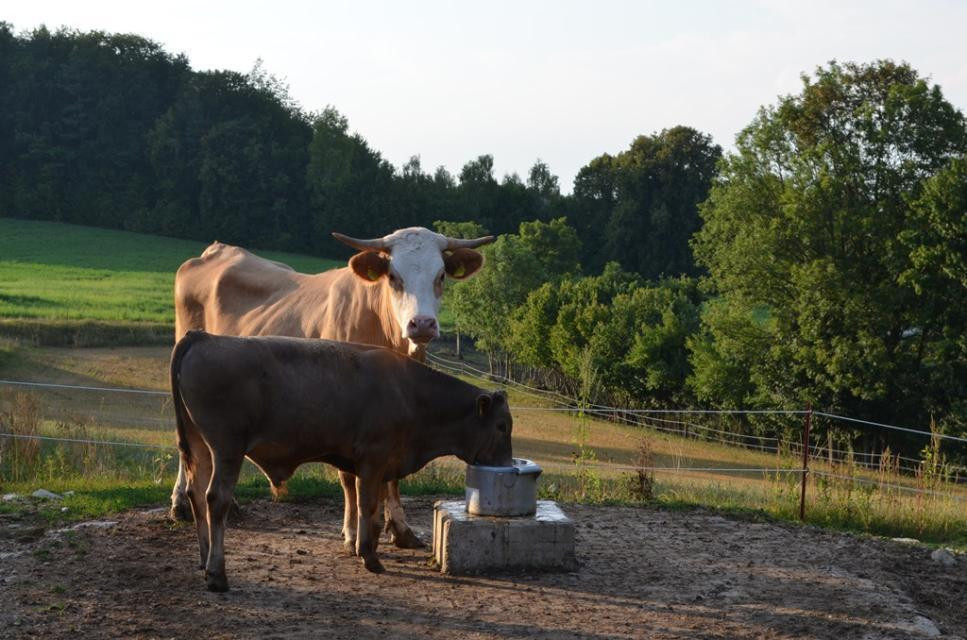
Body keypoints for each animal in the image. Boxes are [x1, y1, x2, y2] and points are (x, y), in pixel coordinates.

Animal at [167, 226, 496, 552]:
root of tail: (215, 250)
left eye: (440, 276)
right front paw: (352, 531)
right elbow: (348, 477)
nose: (423, 324)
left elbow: (392, 477)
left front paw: (400, 528)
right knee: (189, 452)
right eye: (393, 276)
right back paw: (180, 504)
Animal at [175, 330, 520, 592]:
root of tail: (204, 337)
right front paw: (369, 556)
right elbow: (367, 505)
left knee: (196, 494)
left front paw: (364, 546)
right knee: (216, 498)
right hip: (227, 448)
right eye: (502, 426)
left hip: (200, 447)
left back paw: (203, 558)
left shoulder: (374, 465)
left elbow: (371, 510)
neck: (410, 392)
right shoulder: (373, 460)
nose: (507, 464)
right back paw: (217, 573)